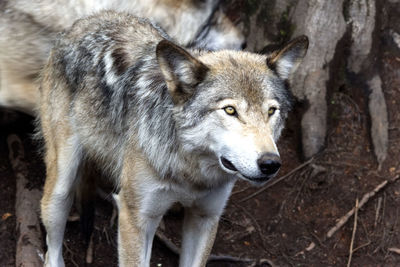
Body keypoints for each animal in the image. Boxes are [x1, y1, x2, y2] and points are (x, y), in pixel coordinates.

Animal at [38, 10, 310, 267]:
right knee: (51, 249)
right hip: (61, 189)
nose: (270, 163)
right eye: (230, 110)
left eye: (271, 111)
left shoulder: (205, 217)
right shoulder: (135, 217)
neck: (190, 170)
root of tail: (89, 19)